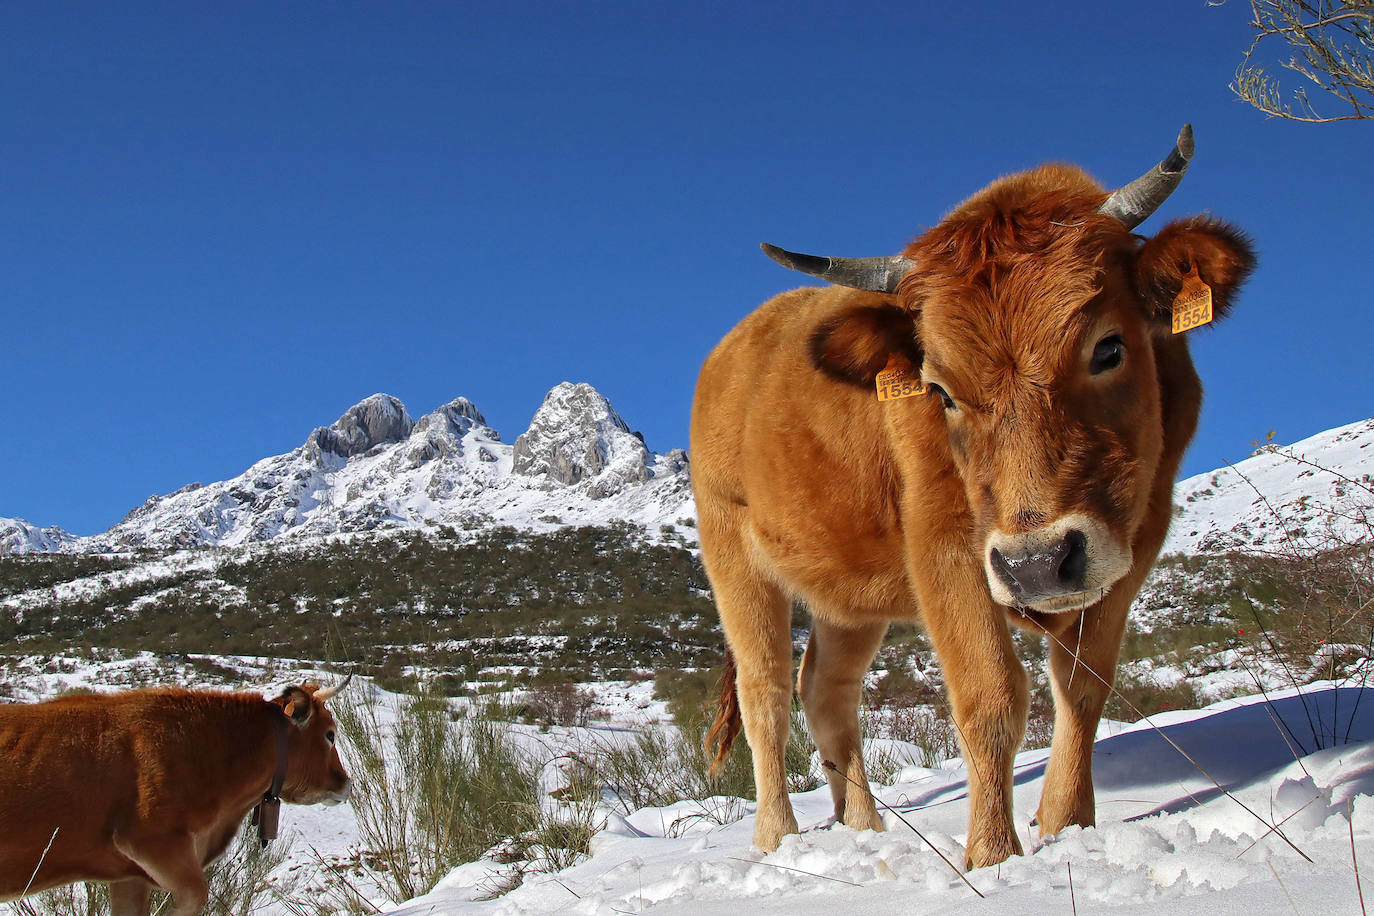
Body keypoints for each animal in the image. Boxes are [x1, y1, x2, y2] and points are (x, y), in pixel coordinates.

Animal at [697, 127, 1258, 867]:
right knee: (764, 694)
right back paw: (778, 839)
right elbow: (990, 696)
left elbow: (1084, 685)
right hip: (736, 559)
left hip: (849, 597)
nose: (1037, 564)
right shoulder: (946, 547)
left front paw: (1068, 825)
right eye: (940, 390)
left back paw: (863, 828)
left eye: (1109, 348)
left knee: (826, 692)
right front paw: (993, 856)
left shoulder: (1135, 540)